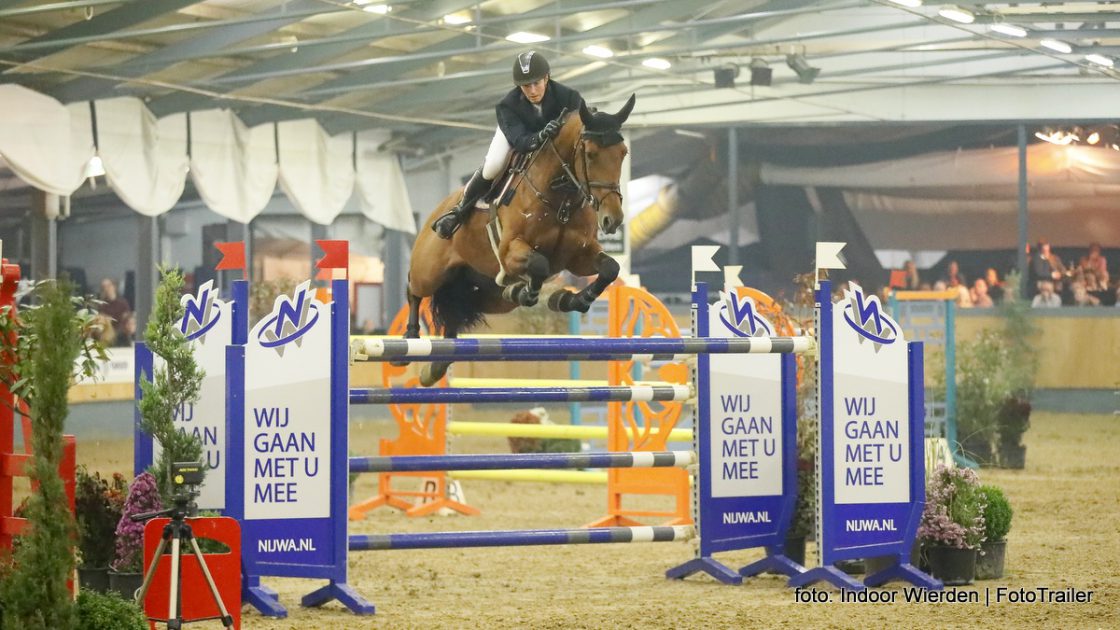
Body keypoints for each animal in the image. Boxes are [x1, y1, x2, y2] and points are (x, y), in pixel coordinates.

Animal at [403, 95, 636, 385]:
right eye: (591, 154)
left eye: (623, 153)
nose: (612, 219)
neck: (561, 198)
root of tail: (437, 211)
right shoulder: (510, 251)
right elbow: (539, 264)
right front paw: (531, 292)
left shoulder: (579, 256)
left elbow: (610, 269)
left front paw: (570, 300)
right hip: (430, 270)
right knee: (414, 289)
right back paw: (410, 339)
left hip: (489, 296)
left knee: (457, 311)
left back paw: (436, 367)